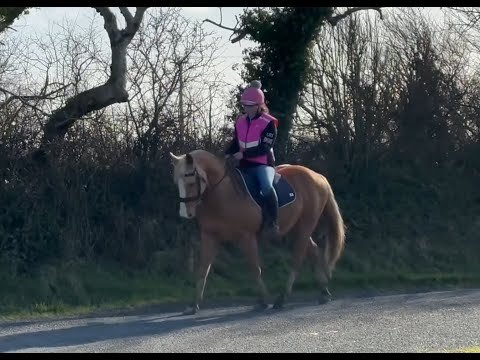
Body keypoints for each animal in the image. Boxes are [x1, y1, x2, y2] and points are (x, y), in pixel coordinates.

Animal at [169, 149, 344, 316]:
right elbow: (203, 270)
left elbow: (255, 268)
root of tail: (318, 176)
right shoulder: (209, 237)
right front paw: (193, 305)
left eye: (190, 179)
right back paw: (323, 292)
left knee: (297, 258)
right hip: (296, 228)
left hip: (305, 226)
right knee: (313, 250)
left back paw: (283, 297)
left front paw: (262, 301)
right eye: (177, 182)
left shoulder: (247, 237)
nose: (185, 213)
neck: (223, 193)